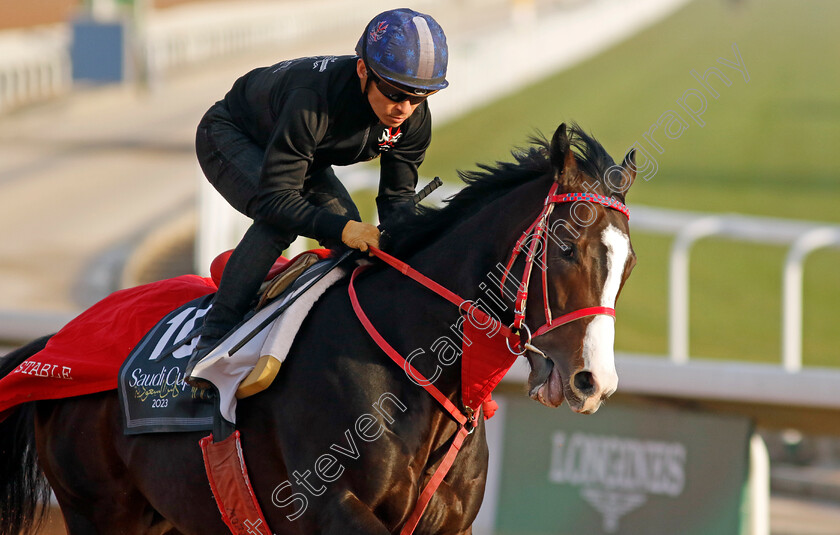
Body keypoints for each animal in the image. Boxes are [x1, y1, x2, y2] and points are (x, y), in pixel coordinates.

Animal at [0, 123, 636, 532]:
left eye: (627, 264)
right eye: (566, 248)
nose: (594, 382)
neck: (413, 367)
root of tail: (54, 341)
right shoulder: (332, 508)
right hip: (100, 509)